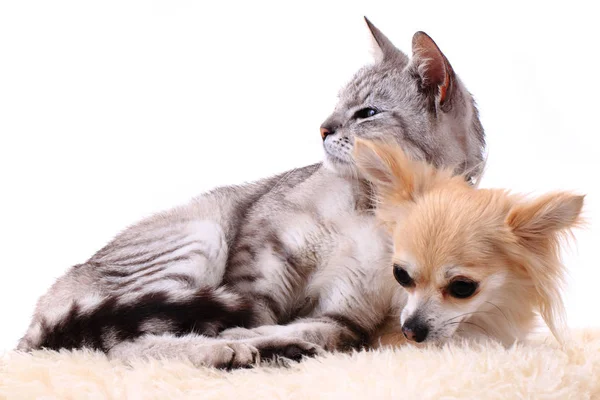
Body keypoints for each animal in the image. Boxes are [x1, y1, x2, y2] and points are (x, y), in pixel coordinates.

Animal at [18, 18, 486, 368]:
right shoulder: (262, 253)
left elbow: (320, 329)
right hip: (199, 238)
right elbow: (255, 311)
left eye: (366, 113)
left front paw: (281, 341)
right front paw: (245, 337)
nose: (322, 128)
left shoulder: (349, 315)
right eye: (336, 106)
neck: (373, 210)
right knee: (125, 345)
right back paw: (228, 350)